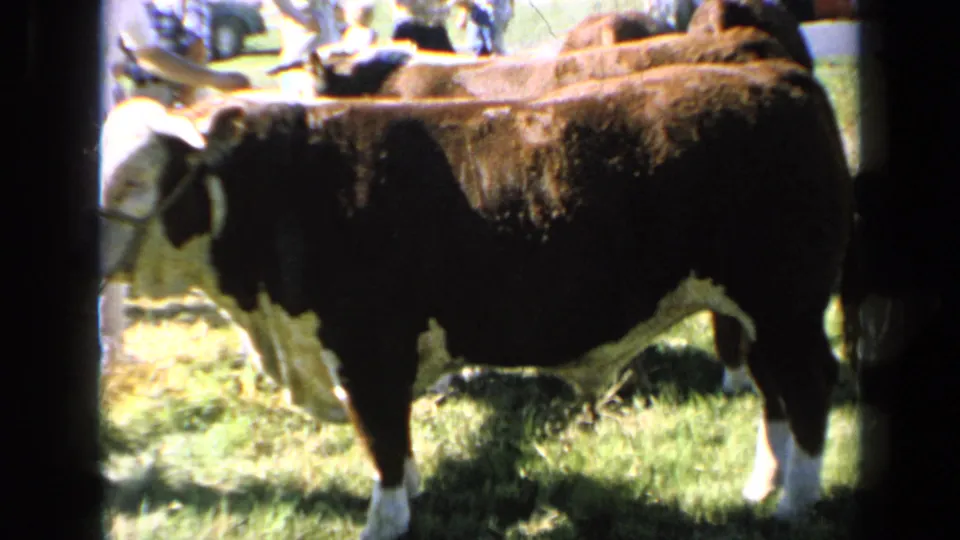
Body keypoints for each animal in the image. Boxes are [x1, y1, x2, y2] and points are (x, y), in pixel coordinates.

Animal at [100, 57, 852, 538]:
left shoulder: (367, 350)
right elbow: (394, 445)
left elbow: (382, 442)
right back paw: (763, 487)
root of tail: (775, 77)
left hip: (785, 303)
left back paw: (795, 505)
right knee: (774, 394)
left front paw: (387, 522)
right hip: (750, 311)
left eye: (136, 178)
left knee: (809, 387)